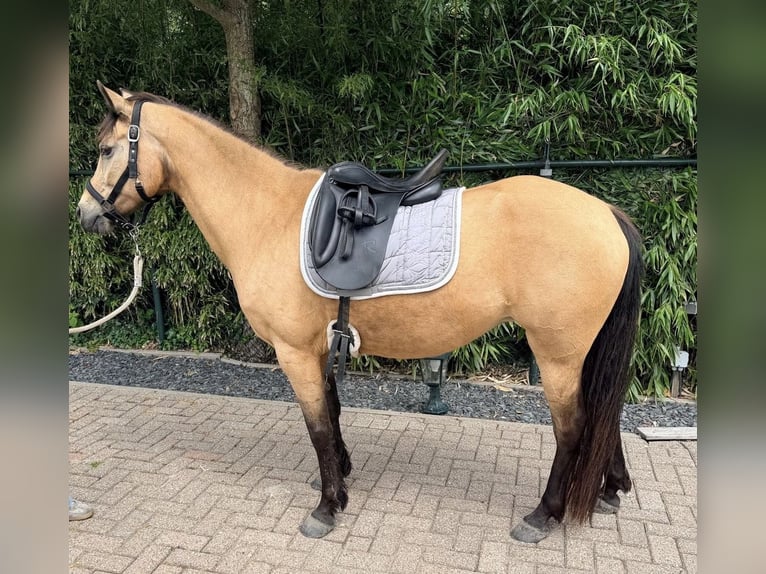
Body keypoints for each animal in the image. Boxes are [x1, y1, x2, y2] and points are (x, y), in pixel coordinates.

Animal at [75, 82, 642, 543]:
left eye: (106, 150)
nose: (86, 215)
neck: (267, 214)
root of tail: (605, 213)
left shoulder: (294, 352)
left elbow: (318, 426)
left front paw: (327, 508)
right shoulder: (320, 344)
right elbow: (333, 412)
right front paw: (341, 477)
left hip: (557, 354)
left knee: (573, 428)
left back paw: (543, 516)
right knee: (606, 416)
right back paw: (610, 491)